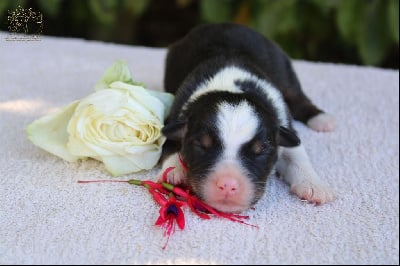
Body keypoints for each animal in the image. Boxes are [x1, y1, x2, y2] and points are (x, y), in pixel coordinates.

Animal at [156, 23, 334, 214]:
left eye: (260, 150)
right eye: (201, 145)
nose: (228, 185)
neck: (232, 86)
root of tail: (223, 24)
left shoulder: (283, 123)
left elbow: (295, 152)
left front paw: (314, 185)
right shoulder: (173, 117)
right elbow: (169, 144)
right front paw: (174, 171)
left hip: (283, 71)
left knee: (298, 98)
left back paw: (322, 119)